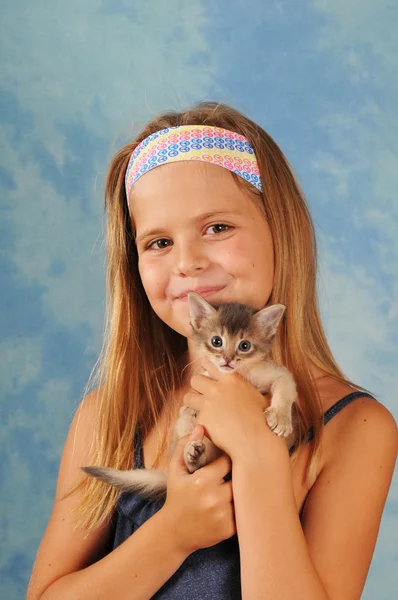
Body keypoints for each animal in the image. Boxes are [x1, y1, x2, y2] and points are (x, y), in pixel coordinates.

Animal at [81, 292, 296, 502]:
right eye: (216, 341)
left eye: (245, 345)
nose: (227, 360)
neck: (240, 374)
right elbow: (188, 407)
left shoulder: (279, 374)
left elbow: (285, 389)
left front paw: (281, 418)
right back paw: (194, 455)